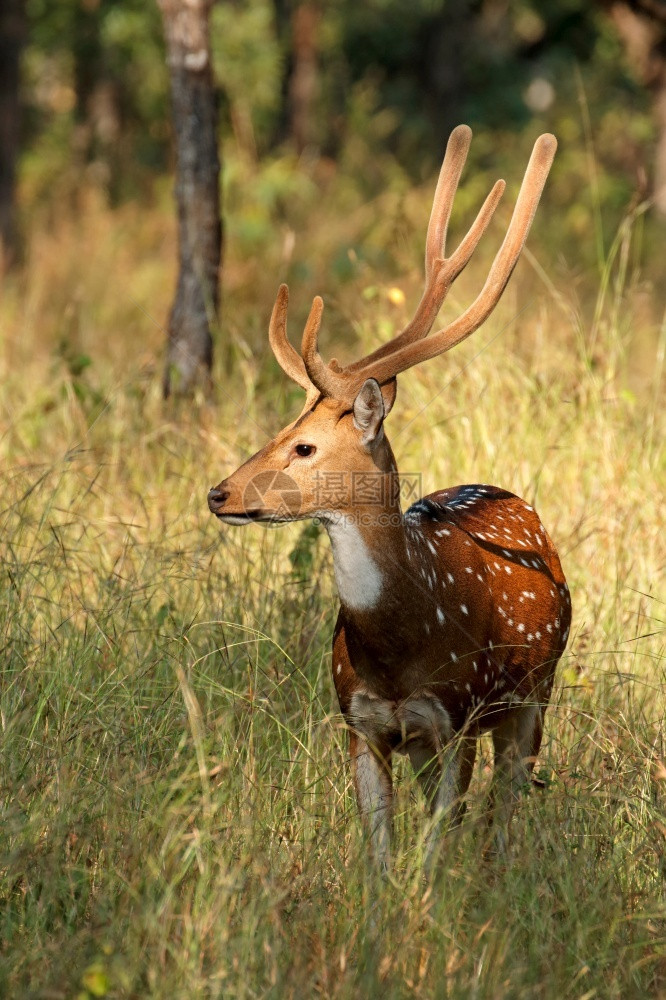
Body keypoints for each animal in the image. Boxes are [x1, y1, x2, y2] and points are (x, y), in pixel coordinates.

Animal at [209, 127, 572, 868]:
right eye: (279, 429)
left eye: (305, 447)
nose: (219, 493)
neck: (401, 649)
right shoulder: (362, 723)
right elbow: (380, 861)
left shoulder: (455, 716)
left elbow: (432, 858)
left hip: (533, 696)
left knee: (508, 808)